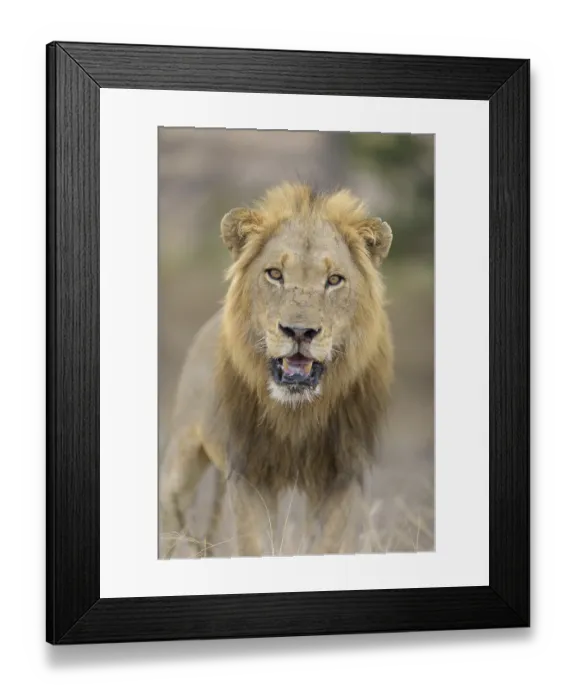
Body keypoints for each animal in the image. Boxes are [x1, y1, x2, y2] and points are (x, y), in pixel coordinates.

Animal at [159, 182, 394, 558]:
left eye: (334, 280)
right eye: (274, 274)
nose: (299, 332)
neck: (296, 412)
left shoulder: (339, 475)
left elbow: (325, 546)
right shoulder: (250, 472)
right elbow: (255, 546)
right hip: (179, 465)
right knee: (171, 520)